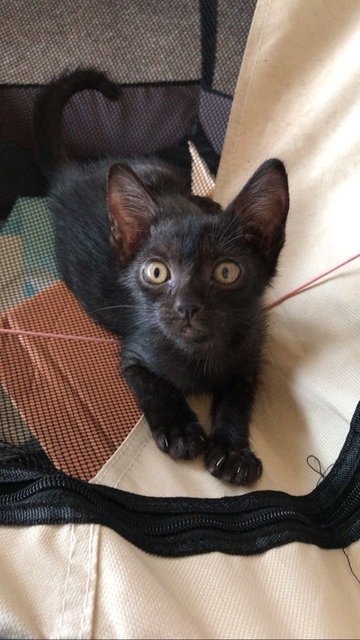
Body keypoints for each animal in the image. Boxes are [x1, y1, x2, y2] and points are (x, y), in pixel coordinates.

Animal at [34, 70, 290, 484]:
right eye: (157, 271)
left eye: (226, 271)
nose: (187, 306)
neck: (197, 356)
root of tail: (73, 175)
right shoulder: (135, 351)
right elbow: (153, 385)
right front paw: (180, 428)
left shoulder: (251, 352)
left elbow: (236, 398)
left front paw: (232, 450)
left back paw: (206, 200)